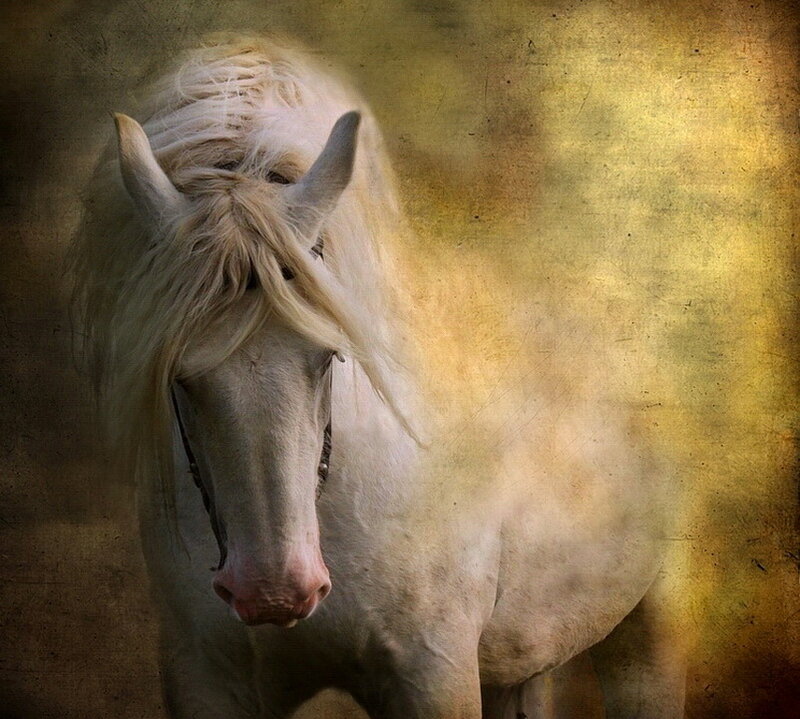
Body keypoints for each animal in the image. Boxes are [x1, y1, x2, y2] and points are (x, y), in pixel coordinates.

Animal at [72, 34, 685, 718]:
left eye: (328, 355)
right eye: (180, 375)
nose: (273, 591)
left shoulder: (433, 673)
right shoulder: (207, 680)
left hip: (649, 630)